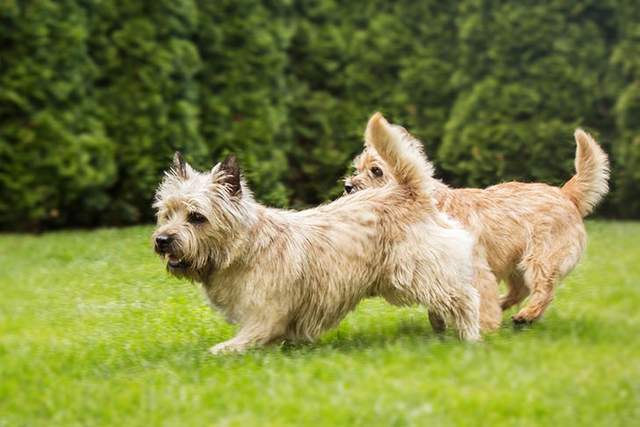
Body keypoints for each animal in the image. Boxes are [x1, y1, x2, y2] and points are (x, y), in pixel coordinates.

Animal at [151, 113, 480, 354]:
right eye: (167, 213)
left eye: (197, 217)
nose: (162, 240)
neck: (244, 248)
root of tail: (407, 191)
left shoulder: (264, 316)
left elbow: (242, 341)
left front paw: (218, 352)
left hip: (417, 271)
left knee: (463, 297)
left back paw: (471, 338)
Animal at [344, 125, 608, 326]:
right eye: (357, 169)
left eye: (376, 170)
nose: (347, 186)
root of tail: (565, 194)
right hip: (515, 264)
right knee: (520, 290)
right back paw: (505, 307)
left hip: (541, 258)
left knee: (544, 289)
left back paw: (526, 315)